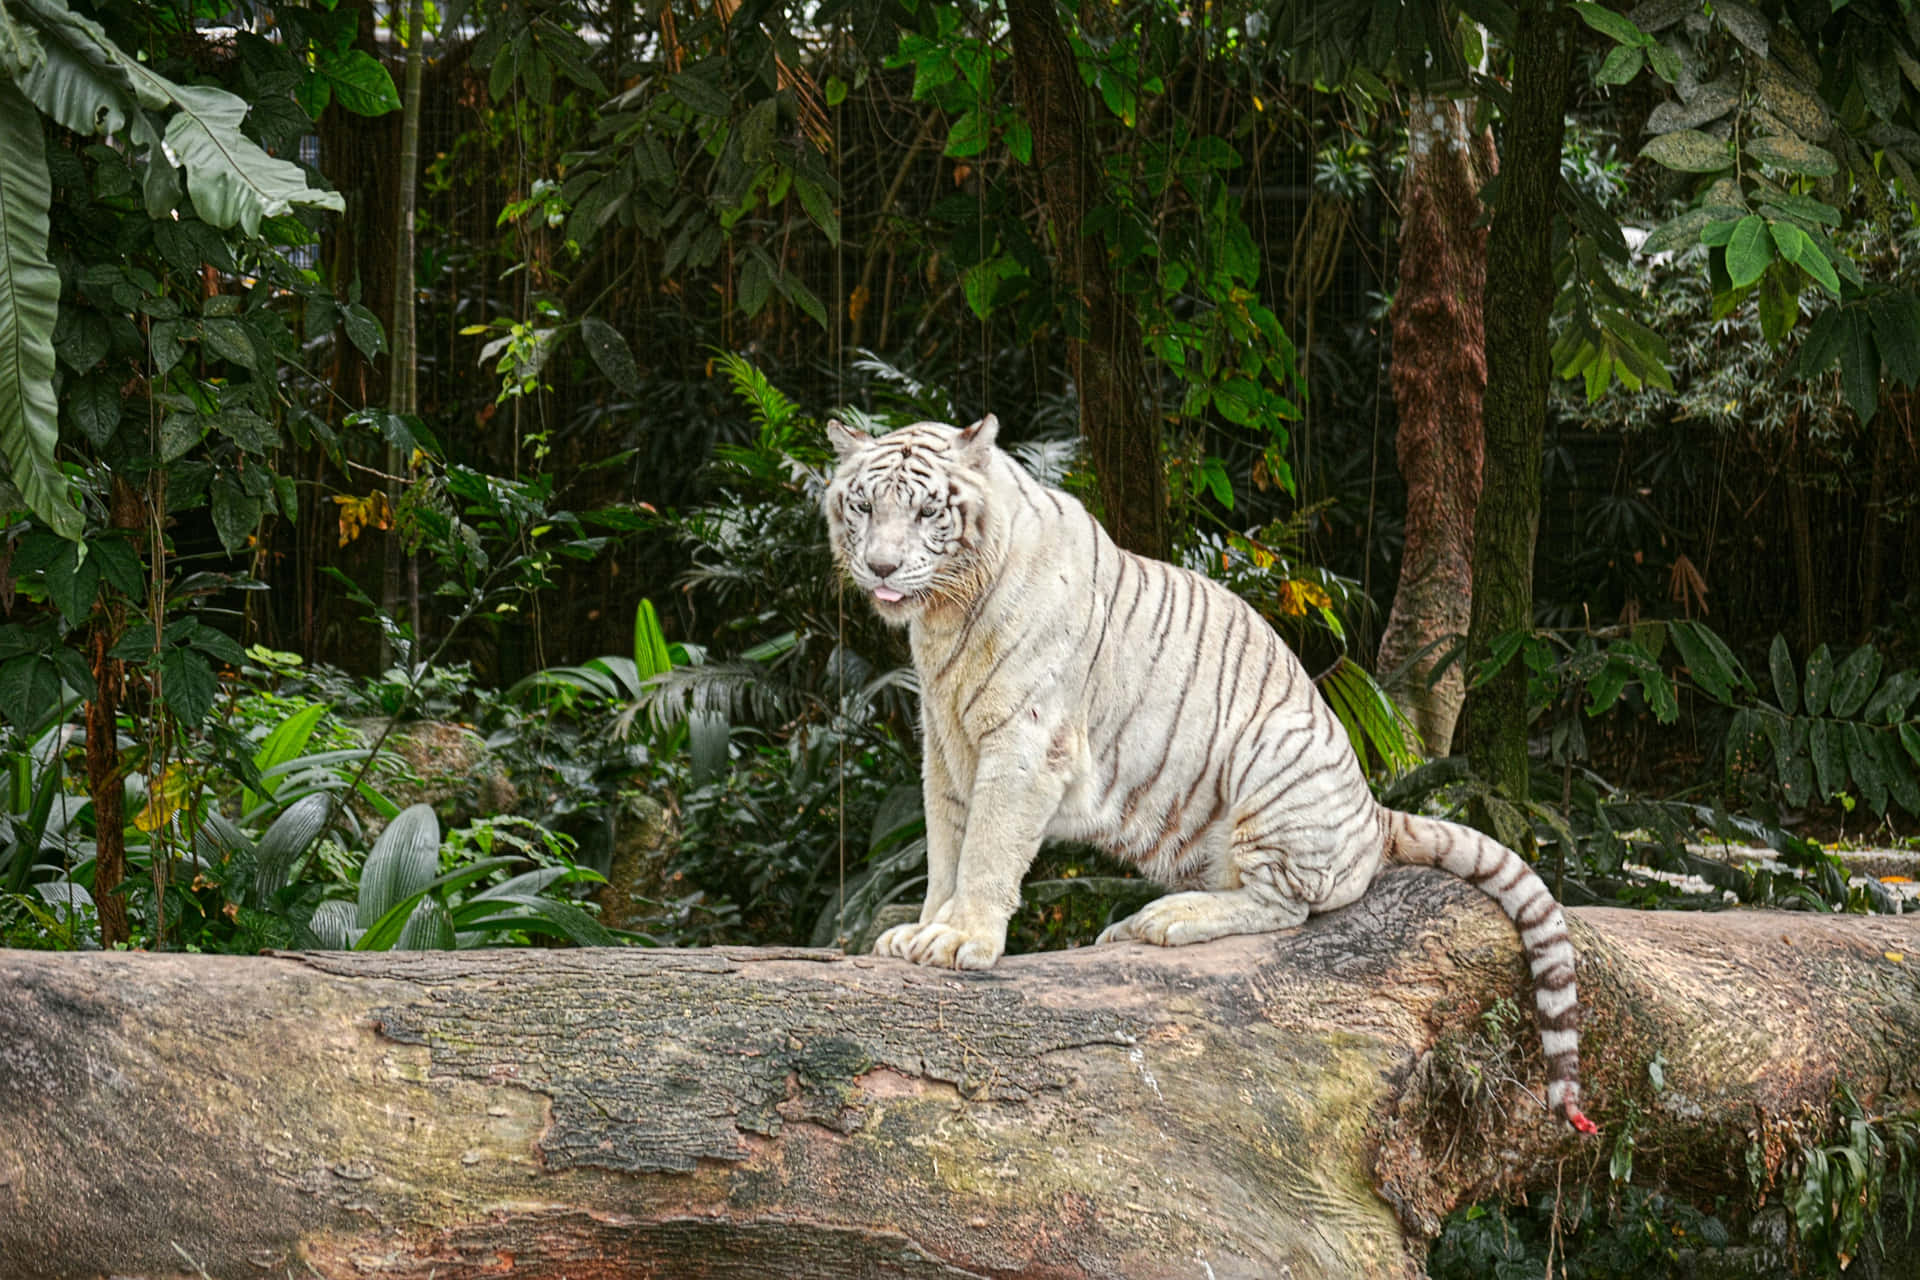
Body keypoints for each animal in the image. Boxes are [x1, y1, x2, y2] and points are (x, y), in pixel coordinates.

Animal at [822, 413, 1597, 1133]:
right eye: (863, 506)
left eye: (927, 511)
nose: (882, 568)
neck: (945, 616)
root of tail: (1374, 813)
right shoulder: (945, 746)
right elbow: (948, 844)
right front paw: (921, 930)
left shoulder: (1024, 741)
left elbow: (986, 849)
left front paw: (961, 941)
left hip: (1271, 756)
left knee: (1285, 906)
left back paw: (1165, 920)